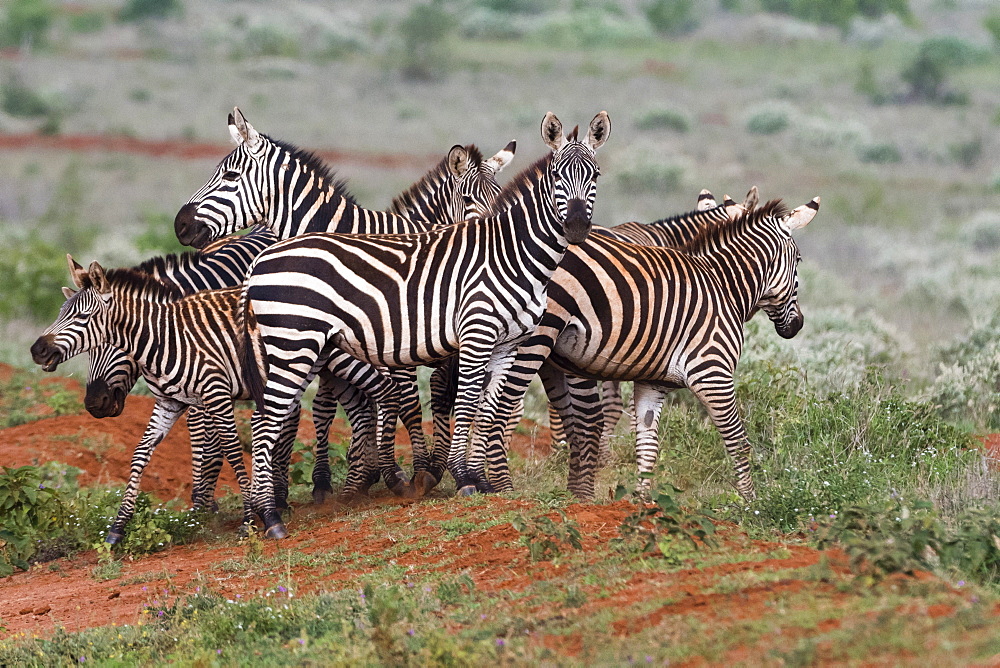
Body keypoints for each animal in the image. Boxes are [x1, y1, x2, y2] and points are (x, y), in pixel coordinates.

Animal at [33, 260, 256, 544]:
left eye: (82, 318)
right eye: (92, 351)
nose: (36, 351)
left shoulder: (214, 391)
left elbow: (225, 447)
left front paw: (239, 513)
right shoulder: (175, 400)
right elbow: (143, 452)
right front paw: (118, 527)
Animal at [174, 108, 516, 496]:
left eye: (230, 175)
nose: (181, 224)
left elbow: (407, 402)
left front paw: (411, 471)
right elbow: (370, 404)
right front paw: (374, 473)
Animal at [240, 109, 608, 536]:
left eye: (595, 175)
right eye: (557, 176)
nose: (577, 228)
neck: (512, 253)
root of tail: (261, 259)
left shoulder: (506, 343)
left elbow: (488, 407)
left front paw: (481, 481)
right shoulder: (475, 334)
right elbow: (463, 404)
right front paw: (463, 478)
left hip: (295, 348)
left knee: (269, 417)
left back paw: (264, 511)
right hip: (293, 344)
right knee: (266, 420)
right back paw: (270, 517)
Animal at [464, 196, 816, 498]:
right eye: (799, 259)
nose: (797, 325)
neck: (723, 286)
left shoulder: (652, 382)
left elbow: (647, 443)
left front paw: (641, 503)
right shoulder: (712, 372)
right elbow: (737, 439)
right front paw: (750, 501)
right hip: (533, 342)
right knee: (502, 408)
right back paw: (501, 486)